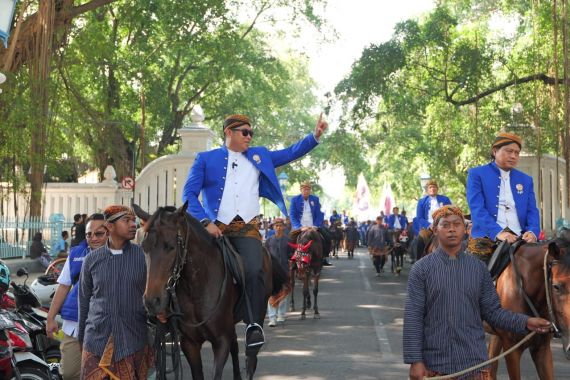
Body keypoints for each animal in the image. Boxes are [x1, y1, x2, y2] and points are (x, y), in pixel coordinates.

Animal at [134, 203, 284, 380]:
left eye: (170, 246)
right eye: (144, 247)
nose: (152, 301)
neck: (196, 287)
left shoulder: (221, 341)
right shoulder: (189, 343)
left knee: (251, 357)